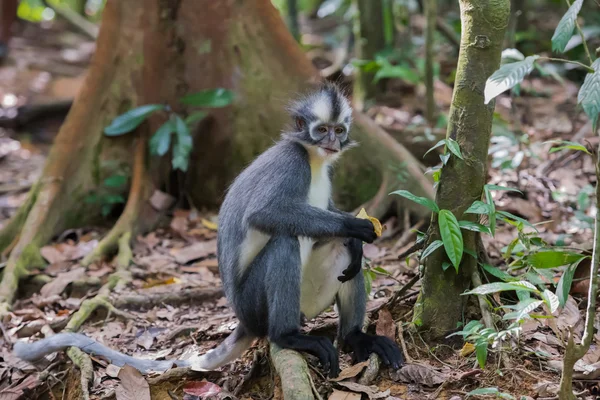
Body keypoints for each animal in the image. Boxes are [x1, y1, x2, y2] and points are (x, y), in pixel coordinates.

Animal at [12, 82, 404, 378]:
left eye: (339, 131)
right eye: (321, 130)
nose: (332, 143)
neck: (314, 158)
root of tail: (245, 321)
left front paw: (356, 237)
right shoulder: (291, 163)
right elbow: (265, 214)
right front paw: (353, 225)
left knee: (340, 251)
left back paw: (355, 337)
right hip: (254, 304)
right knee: (284, 240)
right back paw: (288, 336)